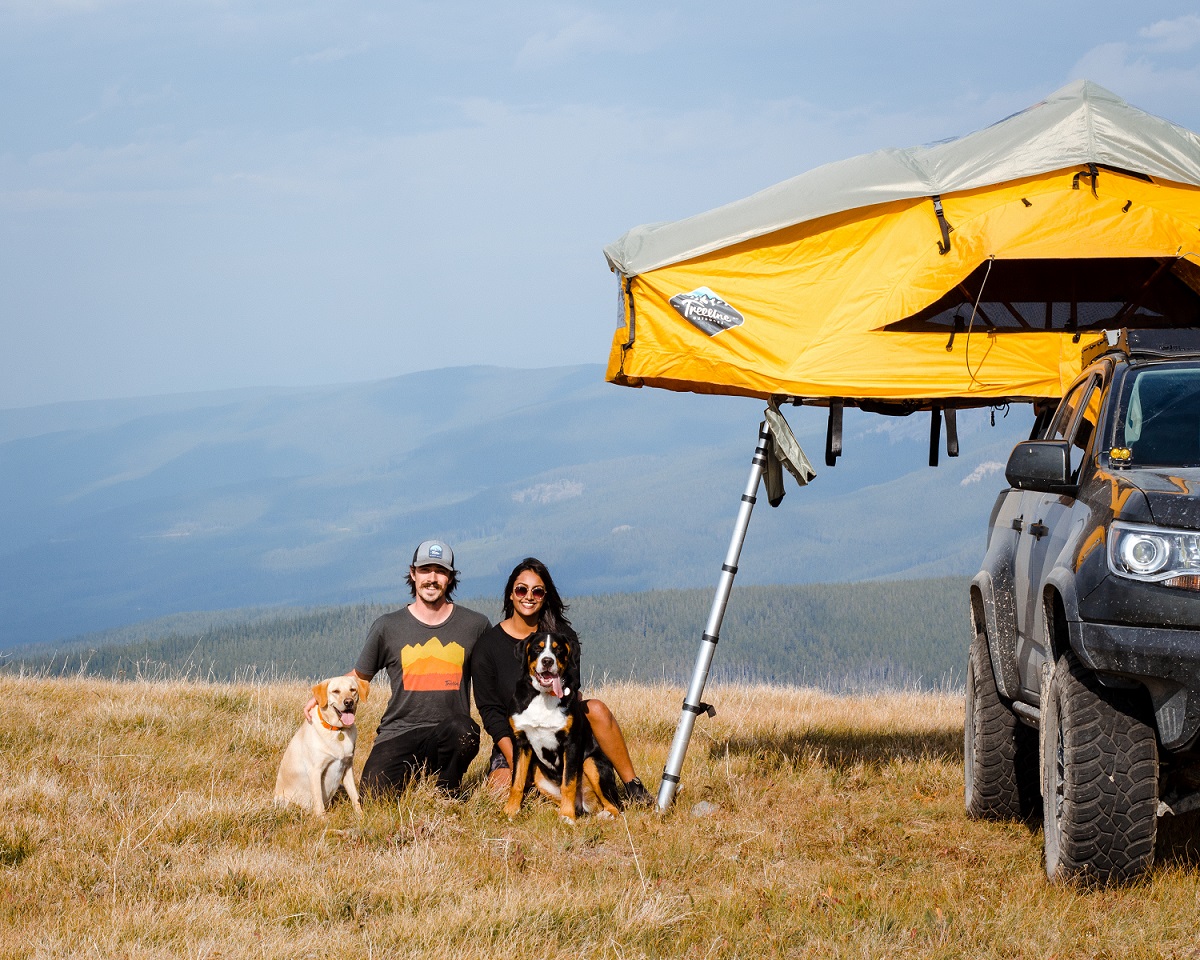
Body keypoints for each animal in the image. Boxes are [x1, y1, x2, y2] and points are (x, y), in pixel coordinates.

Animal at [276, 676, 369, 816]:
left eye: (353, 690)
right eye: (336, 691)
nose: (349, 702)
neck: (337, 730)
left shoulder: (347, 767)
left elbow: (354, 795)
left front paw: (360, 816)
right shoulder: (315, 770)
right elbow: (318, 801)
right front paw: (322, 819)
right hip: (284, 802)